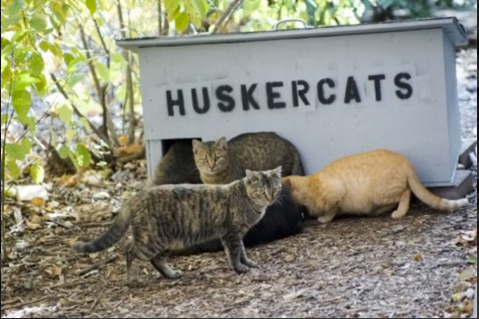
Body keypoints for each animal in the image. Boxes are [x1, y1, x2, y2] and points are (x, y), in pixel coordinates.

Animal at [74, 166, 284, 284]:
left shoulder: (238, 234)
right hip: (151, 240)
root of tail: (136, 197)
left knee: (156, 260)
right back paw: (133, 280)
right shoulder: (231, 233)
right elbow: (234, 254)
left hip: (170, 242)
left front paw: (248, 263)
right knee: (129, 250)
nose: (270, 197)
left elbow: (242, 251)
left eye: (274, 189)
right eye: (261, 190)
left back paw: (171, 275)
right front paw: (239, 269)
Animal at [282, 149, 468, 224]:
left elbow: (331, 210)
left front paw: (324, 218)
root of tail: (403, 159)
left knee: (406, 192)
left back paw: (399, 212)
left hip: (380, 192)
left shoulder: (336, 193)